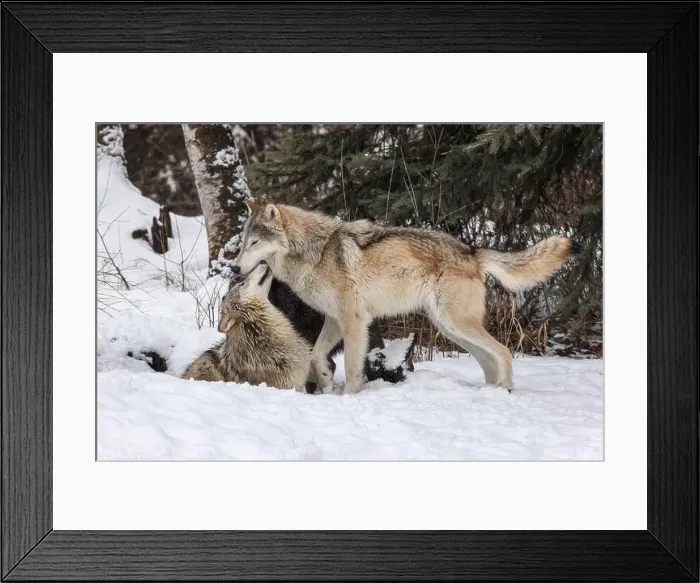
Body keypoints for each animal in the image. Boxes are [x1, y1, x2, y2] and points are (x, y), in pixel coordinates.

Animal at [232, 202, 576, 395]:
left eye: (255, 243)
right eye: (243, 243)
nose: (234, 267)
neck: (316, 252)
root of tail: (472, 251)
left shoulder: (354, 322)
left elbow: (354, 369)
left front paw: (349, 399)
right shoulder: (334, 319)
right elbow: (316, 355)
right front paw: (326, 381)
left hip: (456, 324)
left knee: (503, 352)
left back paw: (505, 391)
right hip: (451, 329)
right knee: (488, 359)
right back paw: (492, 393)